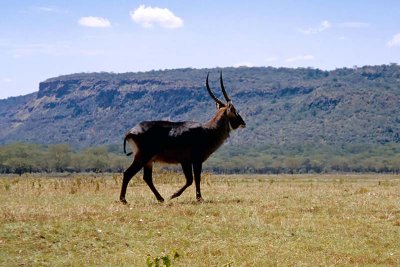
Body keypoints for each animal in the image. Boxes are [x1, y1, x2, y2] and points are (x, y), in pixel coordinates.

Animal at [119, 72, 244, 204]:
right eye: (235, 111)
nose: (243, 123)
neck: (207, 130)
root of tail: (130, 132)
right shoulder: (195, 160)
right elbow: (194, 179)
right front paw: (193, 197)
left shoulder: (186, 162)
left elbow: (191, 179)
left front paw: (177, 196)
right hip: (143, 157)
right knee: (128, 173)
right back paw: (124, 200)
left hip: (148, 161)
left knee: (147, 177)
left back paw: (161, 198)